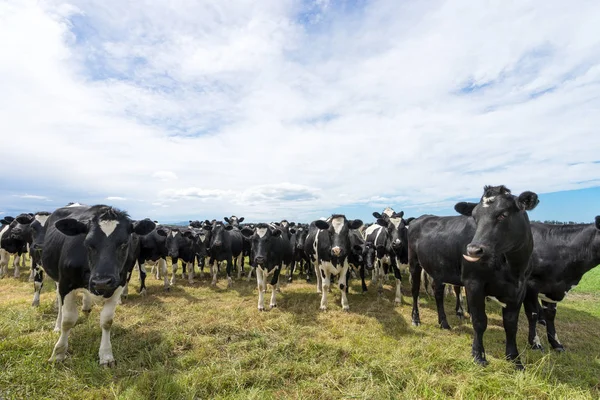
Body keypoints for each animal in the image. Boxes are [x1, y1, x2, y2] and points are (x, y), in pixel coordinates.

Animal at [42, 205, 155, 368]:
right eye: (88, 243)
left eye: (124, 243)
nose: (102, 282)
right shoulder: (66, 284)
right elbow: (68, 321)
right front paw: (58, 353)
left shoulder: (118, 285)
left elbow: (107, 321)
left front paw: (106, 355)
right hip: (57, 279)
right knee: (60, 304)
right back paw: (57, 325)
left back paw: (86, 306)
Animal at [450, 185, 540, 368]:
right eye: (475, 217)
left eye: (503, 214)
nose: (473, 250)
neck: (513, 269)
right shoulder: (473, 283)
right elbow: (479, 321)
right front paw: (478, 355)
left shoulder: (520, 290)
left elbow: (511, 325)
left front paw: (514, 358)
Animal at [520, 217, 600, 352]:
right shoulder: (529, 285)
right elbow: (532, 314)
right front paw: (535, 343)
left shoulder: (552, 288)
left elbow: (551, 315)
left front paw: (556, 343)